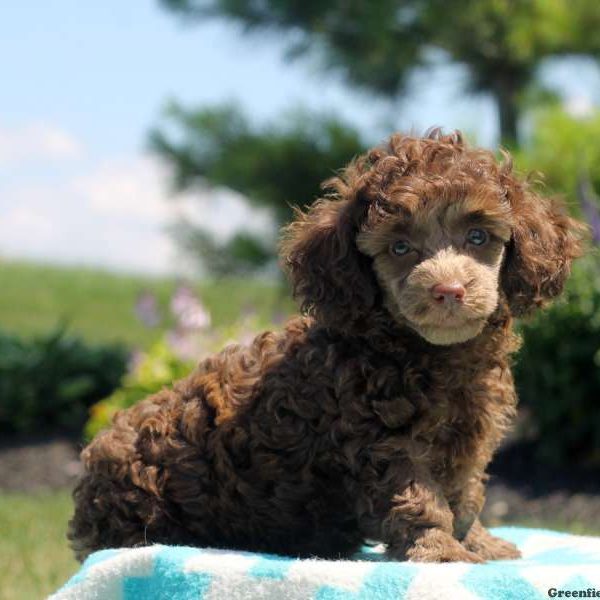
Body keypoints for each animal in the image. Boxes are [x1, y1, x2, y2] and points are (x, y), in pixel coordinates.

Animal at [67, 130, 584, 564]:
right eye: (400, 248)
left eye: (478, 237)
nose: (449, 290)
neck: (434, 355)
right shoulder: (380, 439)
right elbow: (420, 497)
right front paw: (441, 553)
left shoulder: (469, 434)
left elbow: (465, 493)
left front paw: (479, 543)